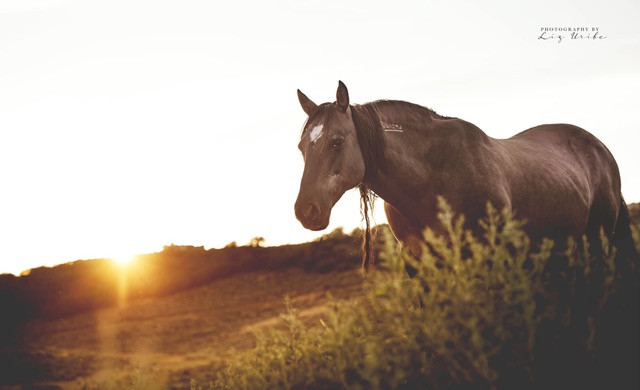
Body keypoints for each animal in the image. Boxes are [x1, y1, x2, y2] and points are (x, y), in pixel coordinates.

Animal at [296, 80, 636, 266]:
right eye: (301, 147)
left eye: (337, 142)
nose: (305, 211)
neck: (432, 183)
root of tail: (599, 147)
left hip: (599, 239)